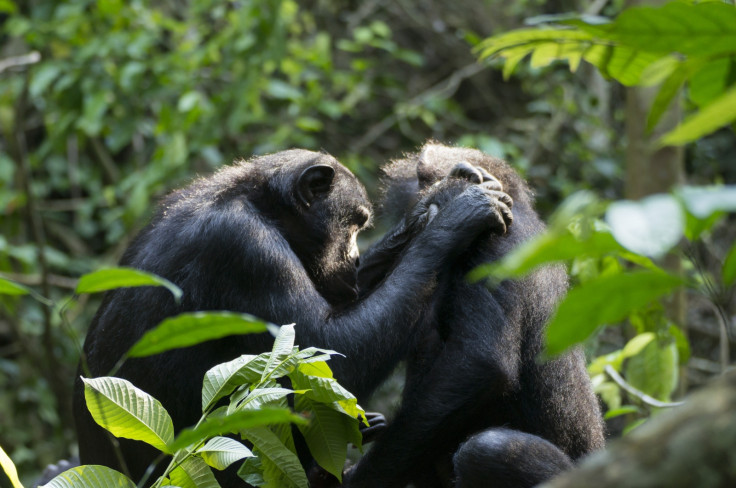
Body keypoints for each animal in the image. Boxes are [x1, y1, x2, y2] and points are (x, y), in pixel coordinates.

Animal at [73, 148, 506, 484]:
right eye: (354, 223)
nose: (354, 257)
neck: (261, 205)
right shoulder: (248, 252)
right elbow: (334, 350)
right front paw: (454, 212)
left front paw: (431, 207)